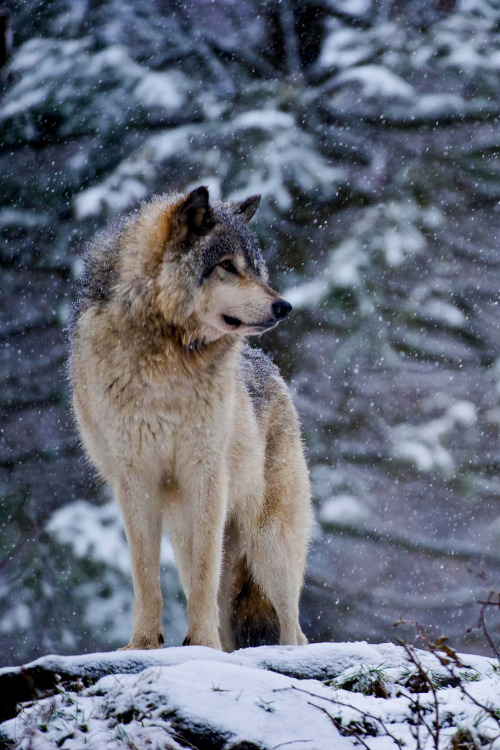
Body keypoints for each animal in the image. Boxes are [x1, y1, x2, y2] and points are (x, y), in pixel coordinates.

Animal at [69, 188, 312, 652]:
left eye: (256, 268)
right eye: (227, 266)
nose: (285, 306)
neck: (168, 357)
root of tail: (272, 370)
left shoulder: (206, 473)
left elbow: (203, 574)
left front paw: (201, 645)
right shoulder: (134, 477)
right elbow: (145, 574)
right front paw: (144, 644)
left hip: (269, 545)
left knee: (295, 630)